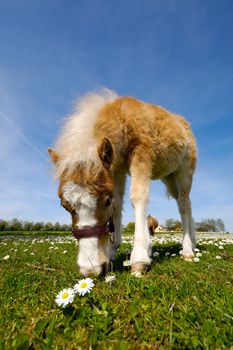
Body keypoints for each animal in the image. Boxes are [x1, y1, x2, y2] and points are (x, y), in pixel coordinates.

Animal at [48, 89, 197, 278]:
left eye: (106, 201)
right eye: (64, 206)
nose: (89, 269)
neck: (123, 118)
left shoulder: (142, 151)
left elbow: (138, 196)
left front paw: (139, 259)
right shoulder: (116, 167)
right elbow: (118, 203)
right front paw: (112, 251)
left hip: (184, 170)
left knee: (184, 203)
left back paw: (187, 250)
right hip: (169, 176)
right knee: (185, 202)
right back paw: (193, 242)